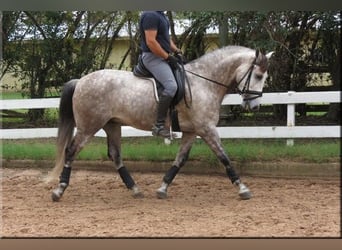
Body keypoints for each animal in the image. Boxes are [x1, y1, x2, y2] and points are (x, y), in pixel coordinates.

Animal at [47, 45, 272, 201]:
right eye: (258, 75)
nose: (254, 107)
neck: (204, 82)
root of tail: (80, 81)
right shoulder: (207, 129)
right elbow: (224, 157)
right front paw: (243, 188)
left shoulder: (192, 131)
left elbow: (180, 159)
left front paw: (162, 188)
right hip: (88, 126)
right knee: (71, 151)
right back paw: (59, 190)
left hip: (112, 124)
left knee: (115, 155)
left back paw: (135, 189)